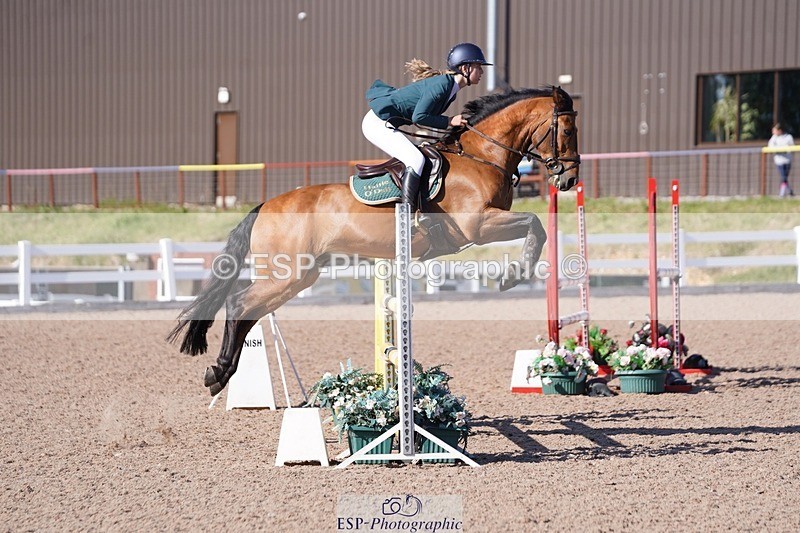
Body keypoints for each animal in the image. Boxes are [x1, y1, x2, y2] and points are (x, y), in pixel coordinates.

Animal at [167, 86, 580, 395]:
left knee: (249, 311)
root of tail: (265, 205)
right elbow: (536, 224)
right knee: (240, 304)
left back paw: (221, 374)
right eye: (568, 131)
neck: (482, 157)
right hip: (288, 274)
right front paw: (514, 275)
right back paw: (219, 371)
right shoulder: (477, 226)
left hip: (299, 276)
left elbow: (537, 226)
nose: (570, 180)